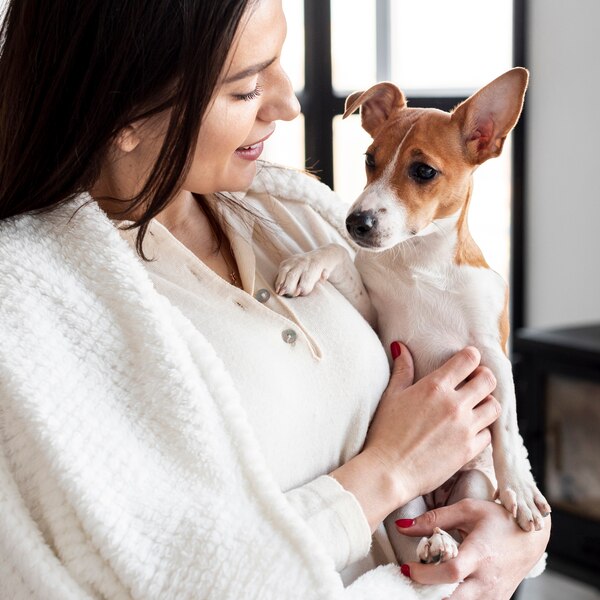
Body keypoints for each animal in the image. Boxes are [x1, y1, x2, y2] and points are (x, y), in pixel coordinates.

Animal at [274, 68, 552, 564]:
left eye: (423, 171)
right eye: (369, 159)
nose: (357, 222)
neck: (422, 264)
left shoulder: (493, 355)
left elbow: (505, 426)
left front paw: (519, 487)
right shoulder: (375, 316)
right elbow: (339, 257)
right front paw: (306, 263)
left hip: (472, 483)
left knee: (459, 513)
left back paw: (447, 538)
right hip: (403, 502)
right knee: (411, 538)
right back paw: (432, 543)